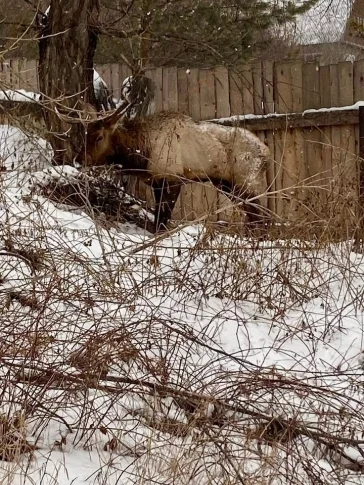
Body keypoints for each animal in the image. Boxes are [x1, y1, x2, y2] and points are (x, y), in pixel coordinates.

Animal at [73, 101, 270, 233]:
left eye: (99, 137)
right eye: (84, 134)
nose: (78, 159)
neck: (142, 154)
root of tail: (266, 154)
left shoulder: (172, 179)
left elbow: (163, 218)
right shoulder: (156, 182)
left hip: (247, 183)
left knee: (263, 217)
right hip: (227, 185)